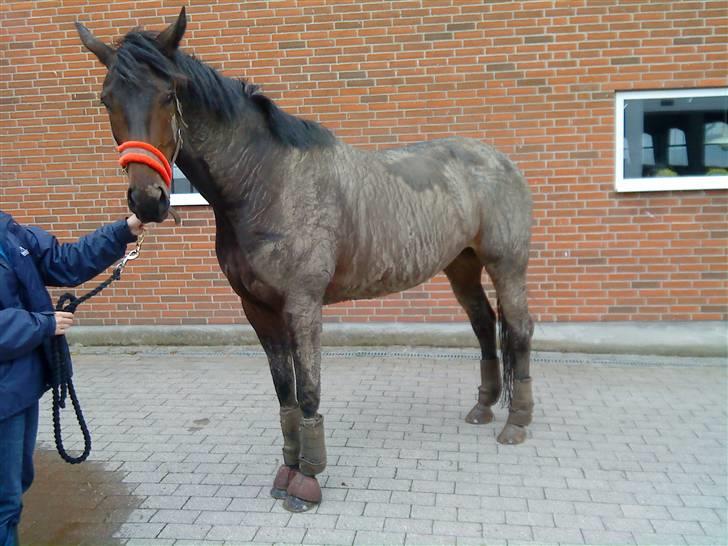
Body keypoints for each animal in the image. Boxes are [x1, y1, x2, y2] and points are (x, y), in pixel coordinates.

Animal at [75, 7, 536, 510]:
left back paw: (517, 422)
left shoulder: (303, 305)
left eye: (168, 93)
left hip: (506, 264)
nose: (148, 201)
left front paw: (308, 482)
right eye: (106, 100)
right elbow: (285, 393)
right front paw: (287, 471)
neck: (268, 183)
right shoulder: (258, 310)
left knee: (518, 327)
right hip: (462, 266)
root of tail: (501, 161)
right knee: (484, 325)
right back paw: (483, 407)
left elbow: (310, 388)